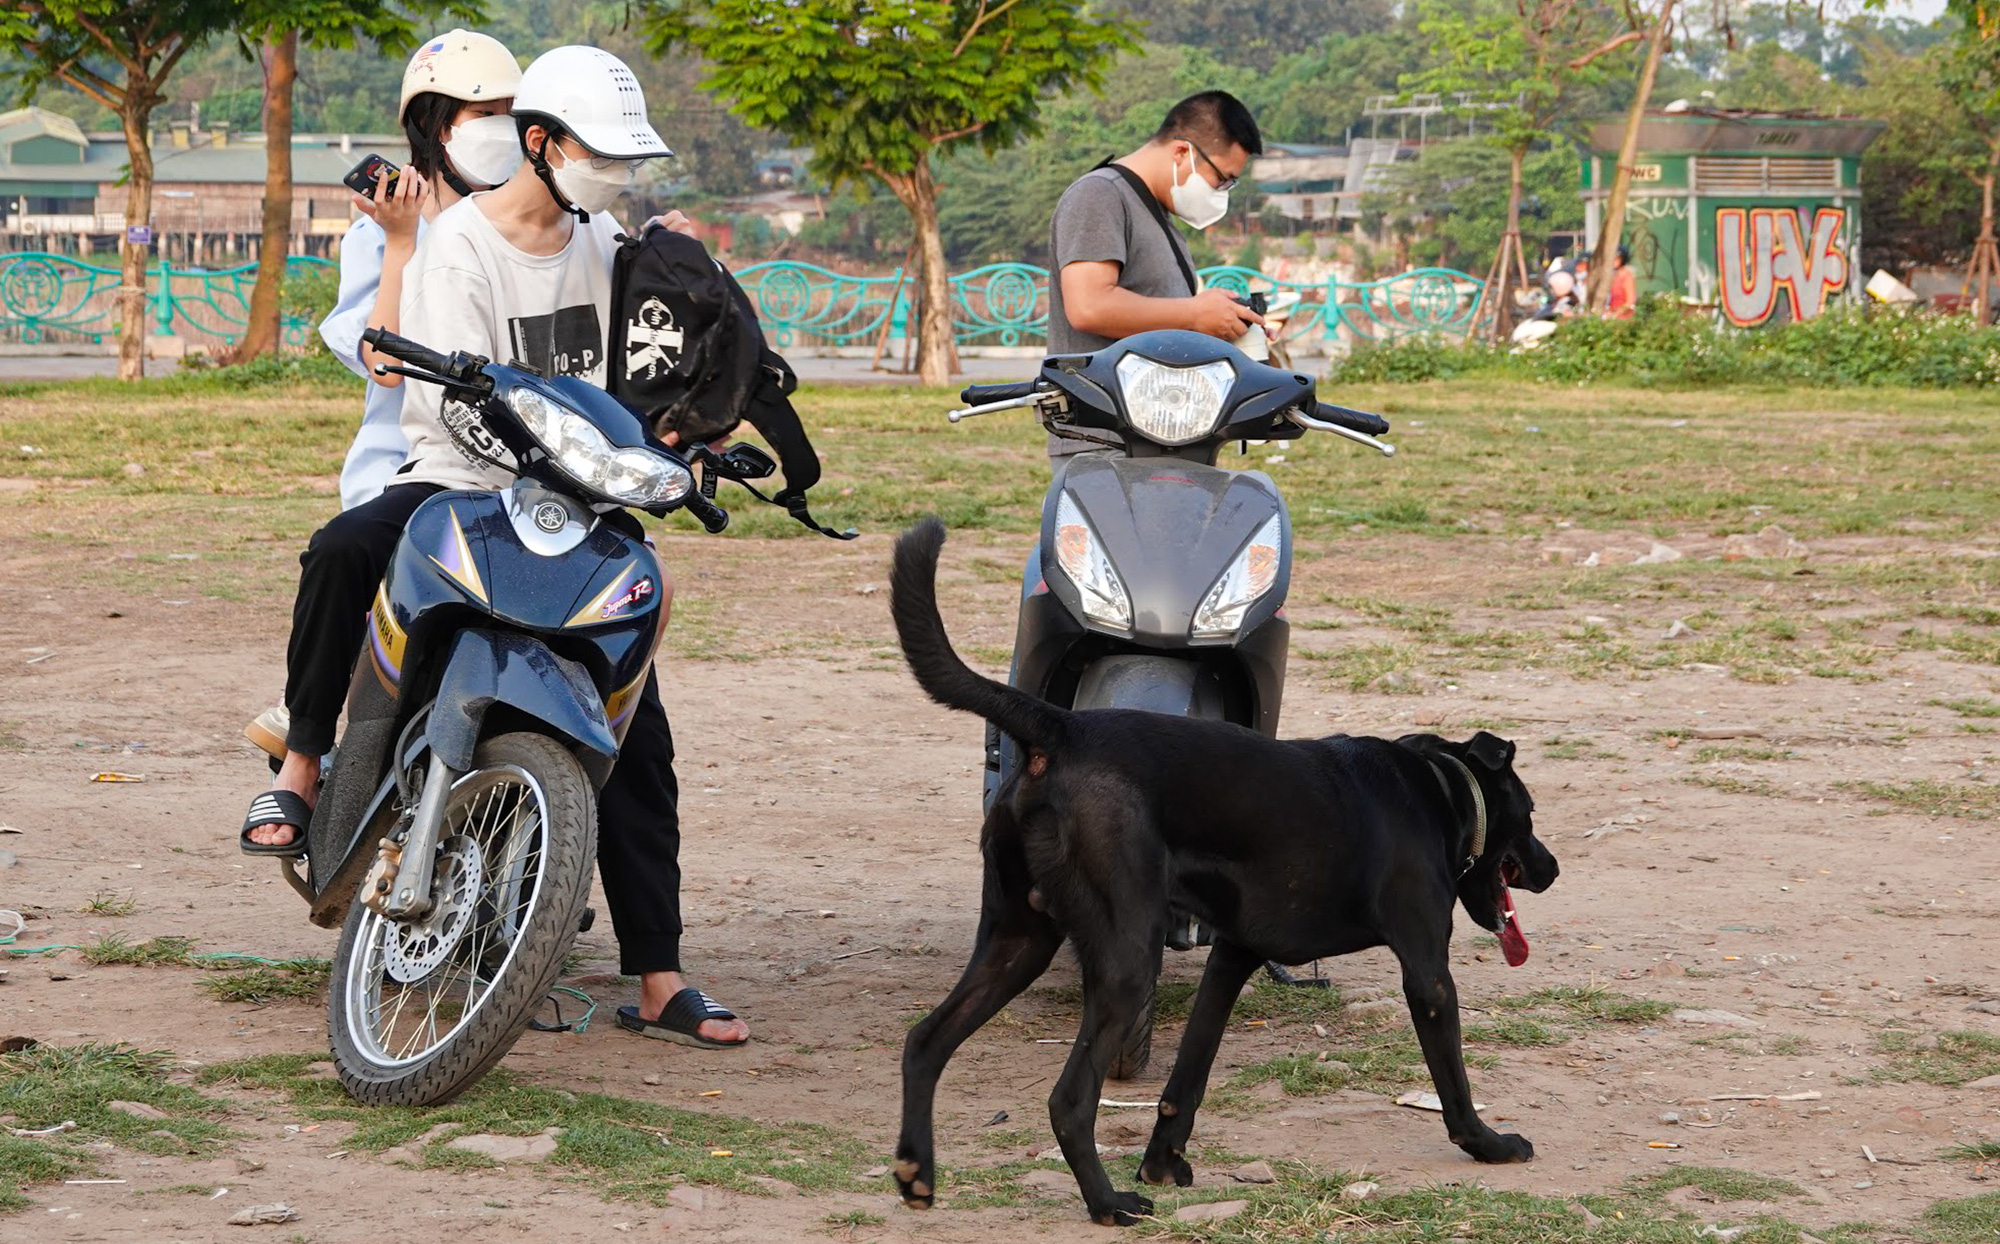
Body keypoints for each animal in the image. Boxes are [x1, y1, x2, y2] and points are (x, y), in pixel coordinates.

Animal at [892, 520, 1560, 1232]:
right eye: (1530, 815)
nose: (1552, 868)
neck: (1441, 788)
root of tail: (1062, 728)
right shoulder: (1428, 971)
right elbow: (1453, 1079)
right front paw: (1488, 1143)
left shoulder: (1230, 959)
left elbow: (1187, 1078)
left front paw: (1163, 1162)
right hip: (1126, 961)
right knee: (1068, 1100)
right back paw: (1108, 1204)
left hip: (1018, 941)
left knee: (924, 1041)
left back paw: (916, 1172)